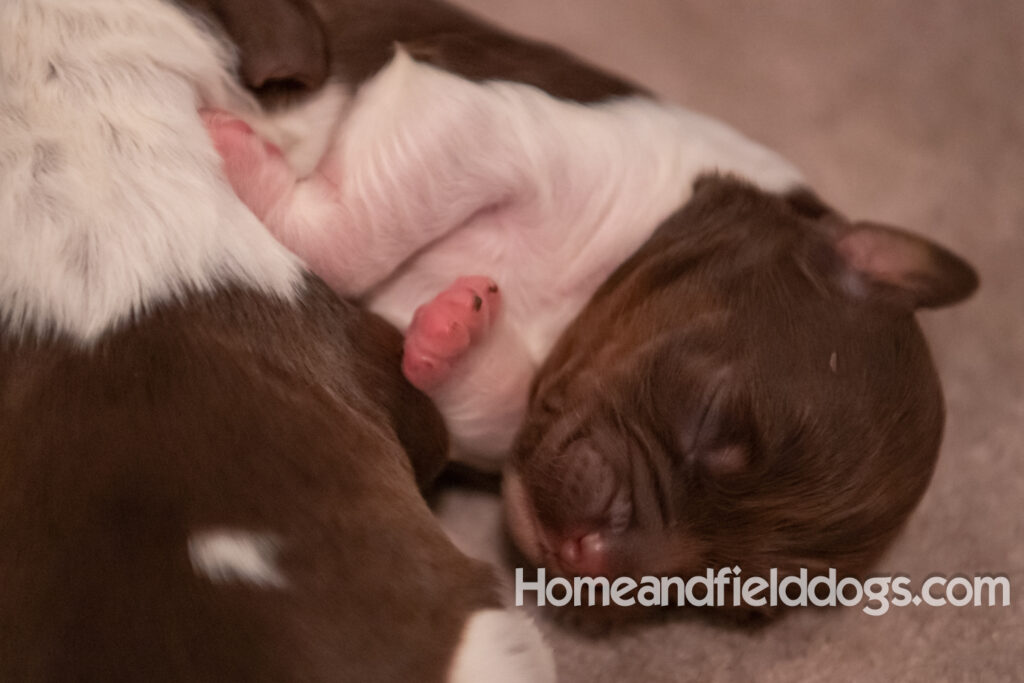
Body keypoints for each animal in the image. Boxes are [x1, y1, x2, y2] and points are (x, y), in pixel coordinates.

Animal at [203, 0, 978, 622]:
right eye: (708, 416)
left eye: (726, 589)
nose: (592, 555)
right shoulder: (484, 120)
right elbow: (357, 239)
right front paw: (241, 155)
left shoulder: (485, 419)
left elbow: (476, 382)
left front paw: (458, 331)